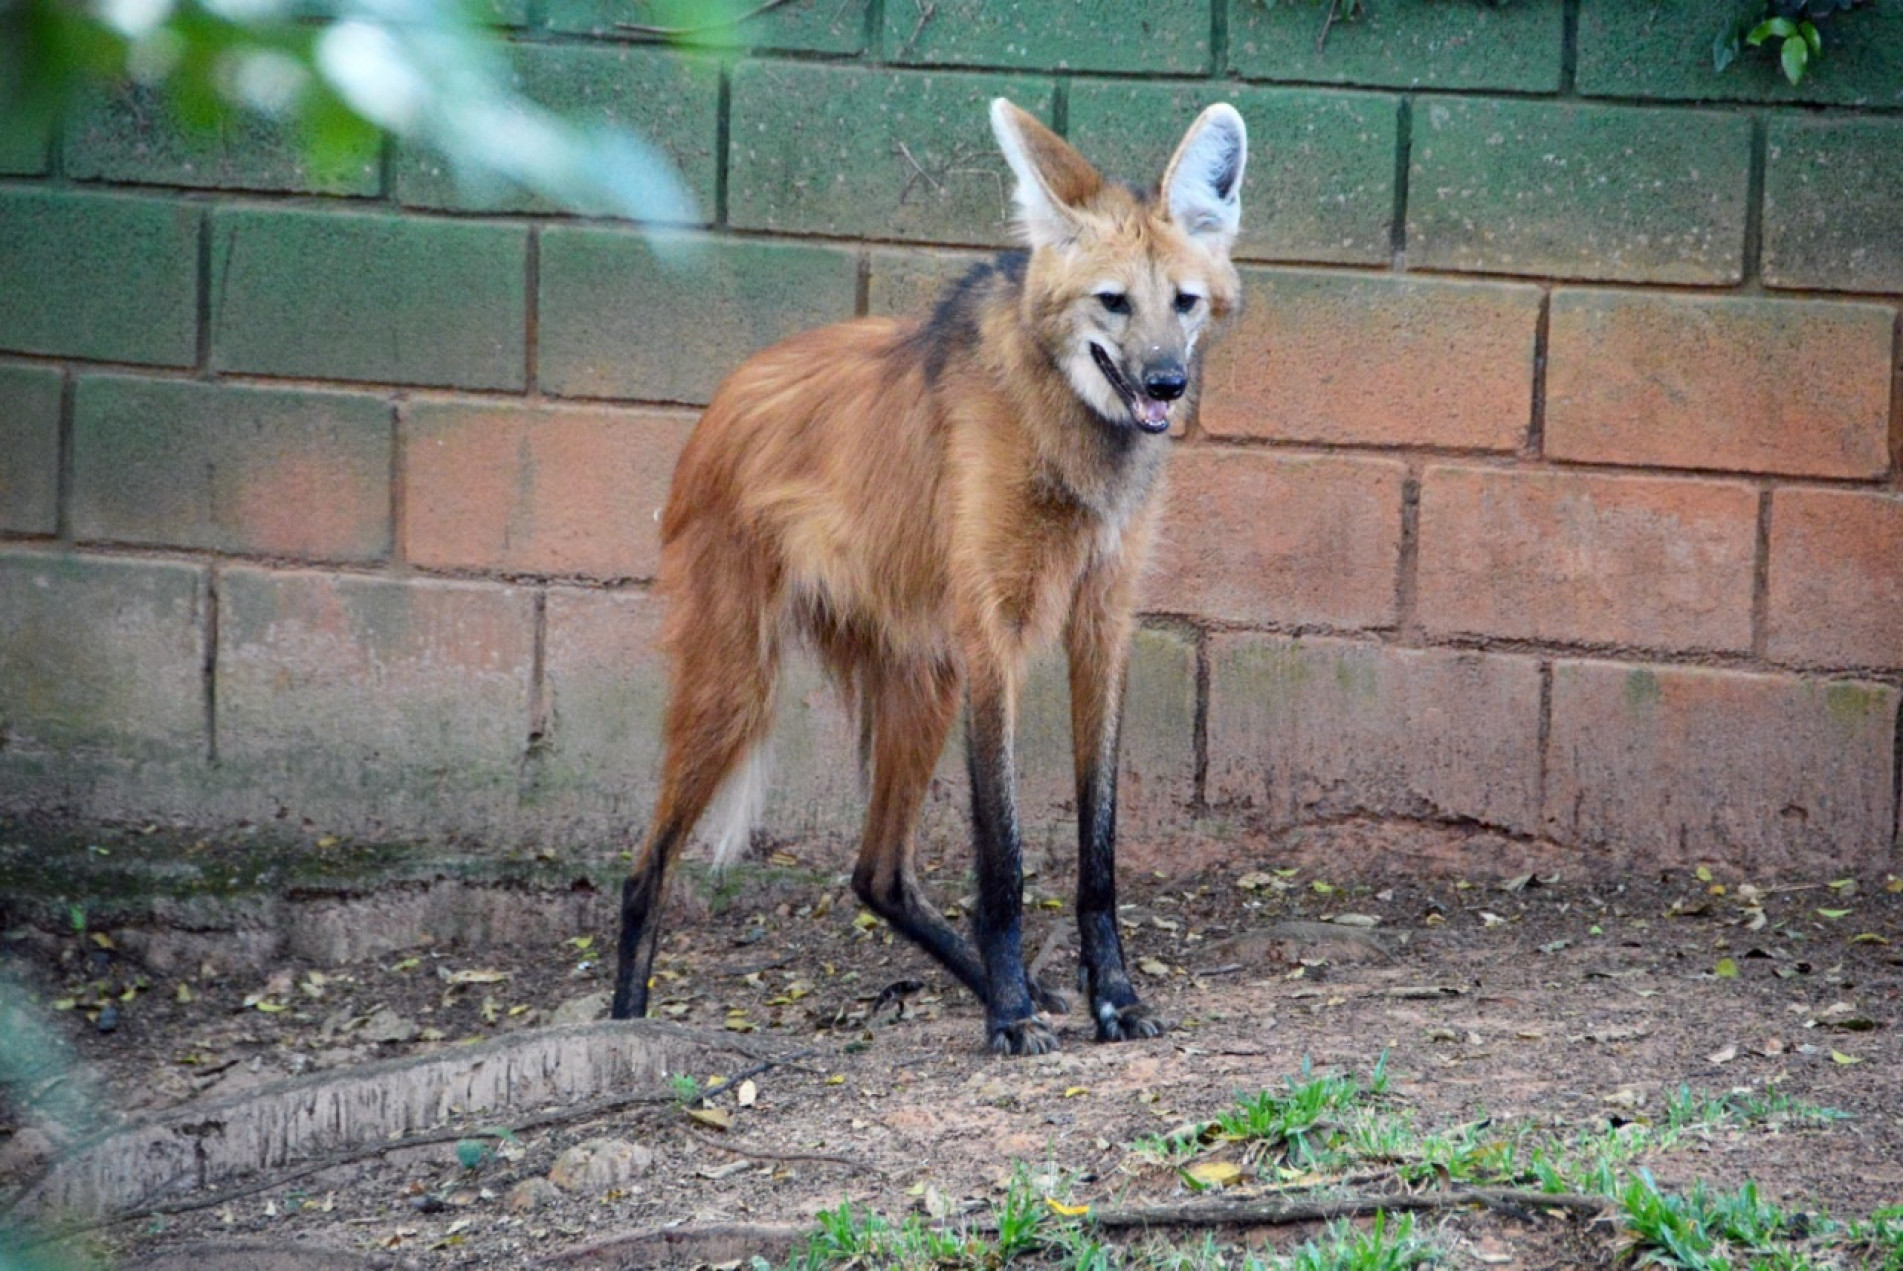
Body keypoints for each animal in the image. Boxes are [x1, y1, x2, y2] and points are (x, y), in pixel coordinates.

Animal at [608, 97, 1255, 1050]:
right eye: (1112, 302)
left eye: (1183, 302)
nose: (1166, 383)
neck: (1063, 428)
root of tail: (720, 399)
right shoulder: (992, 631)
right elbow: (1003, 853)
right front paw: (1012, 1017)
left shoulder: (1101, 619)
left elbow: (1098, 848)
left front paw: (1111, 997)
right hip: (742, 678)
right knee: (643, 868)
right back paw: (622, 1028)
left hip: (921, 672)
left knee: (875, 871)